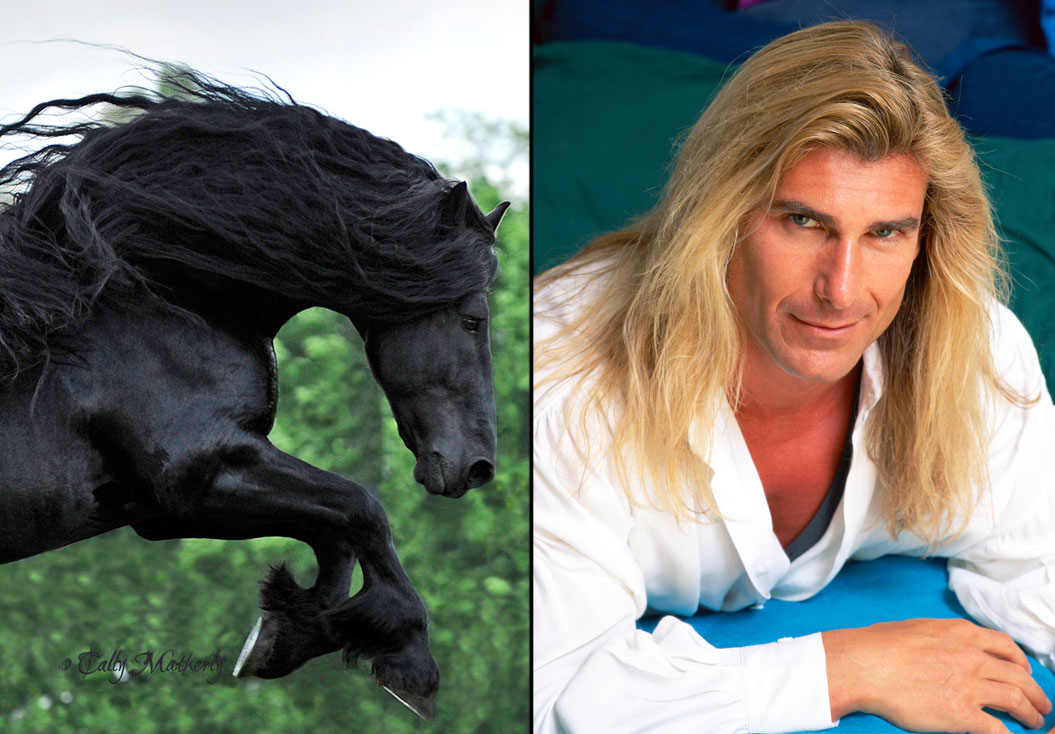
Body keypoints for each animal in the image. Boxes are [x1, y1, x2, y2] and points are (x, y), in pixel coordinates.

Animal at [0, 71, 508, 721]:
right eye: (472, 320)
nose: (479, 466)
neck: (154, 299)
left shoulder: (166, 510)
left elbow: (335, 534)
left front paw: (292, 631)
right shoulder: (204, 470)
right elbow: (362, 507)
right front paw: (408, 659)